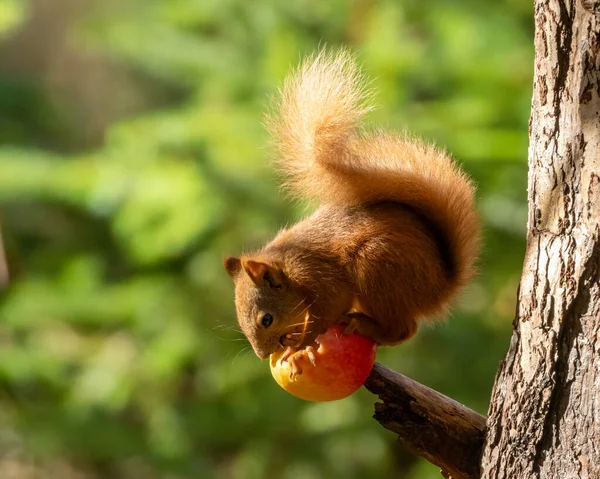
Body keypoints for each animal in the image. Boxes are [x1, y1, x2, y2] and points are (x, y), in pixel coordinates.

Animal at [223, 49, 480, 378]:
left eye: (266, 319)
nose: (262, 354)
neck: (287, 266)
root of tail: (439, 289)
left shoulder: (319, 278)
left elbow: (327, 311)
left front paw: (299, 345)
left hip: (378, 265)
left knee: (404, 330)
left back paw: (364, 325)